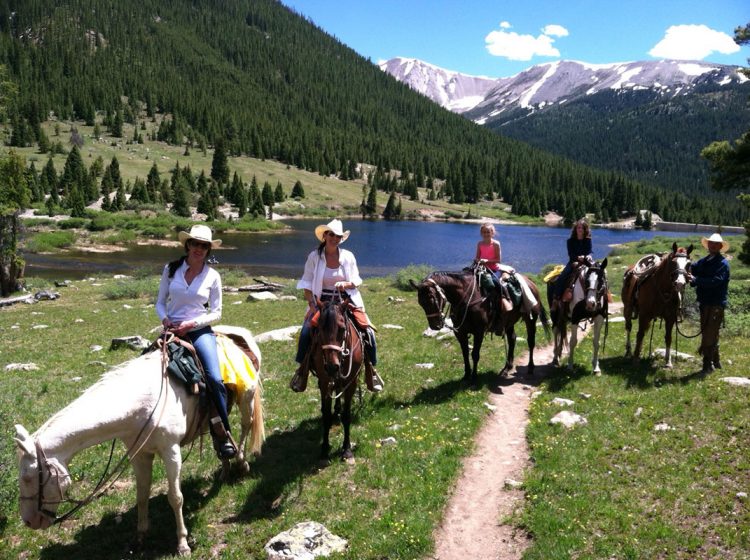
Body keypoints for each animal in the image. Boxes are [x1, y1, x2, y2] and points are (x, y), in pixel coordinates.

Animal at [12, 326, 268, 552]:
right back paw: (225, 468)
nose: (28, 522)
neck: (142, 402)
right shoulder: (140, 455)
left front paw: (182, 543)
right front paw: (140, 537)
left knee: (245, 427)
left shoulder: (171, 451)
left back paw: (241, 463)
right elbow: (142, 495)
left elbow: (175, 497)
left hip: (246, 399)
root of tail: (238, 335)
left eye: (27, 478)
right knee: (220, 431)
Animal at [310, 298, 366, 464]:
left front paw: (347, 450)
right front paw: (324, 450)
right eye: (319, 329)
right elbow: (326, 415)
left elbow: (347, 415)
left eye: (342, 329)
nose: (331, 367)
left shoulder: (351, 382)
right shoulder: (324, 383)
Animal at [412, 268, 552, 384]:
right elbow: (465, 353)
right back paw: (507, 368)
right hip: (508, 322)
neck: (466, 297)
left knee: (531, 342)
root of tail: (531, 283)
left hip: (530, 319)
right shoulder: (460, 332)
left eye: (432, 298)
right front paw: (466, 375)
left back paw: (530, 368)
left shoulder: (478, 332)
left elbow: (475, 354)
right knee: (512, 339)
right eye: (420, 302)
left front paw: (474, 377)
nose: (435, 326)